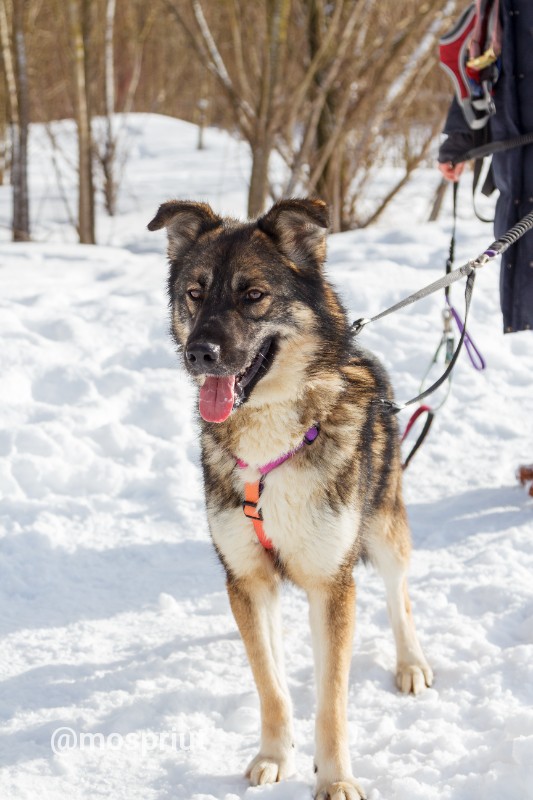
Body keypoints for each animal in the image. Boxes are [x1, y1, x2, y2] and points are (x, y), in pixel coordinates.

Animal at [148, 197, 430, 800]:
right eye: (195, 292)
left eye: (253, 294)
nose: (199, 353)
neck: (270, 442)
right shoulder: (247, 579)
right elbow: (270, 684)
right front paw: (274, 757)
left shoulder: (332, 583)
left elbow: (332, 699)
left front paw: (337, 777)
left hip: (383, 525)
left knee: (399, 594)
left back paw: (411, 663)